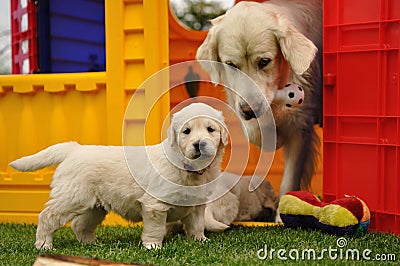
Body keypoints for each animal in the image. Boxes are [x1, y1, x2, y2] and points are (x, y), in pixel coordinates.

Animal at [9, 102, 228, 249]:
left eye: (210, 129)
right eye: (186, 132)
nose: (199, 144)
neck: (189, 168)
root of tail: (74, 149)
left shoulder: (197, 205)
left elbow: (197, 224)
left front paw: (200, 240)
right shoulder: (155, 205)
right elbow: (155, 229)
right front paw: (153, 247)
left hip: (94, 206)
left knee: (80, 224)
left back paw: (92, 244)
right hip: (72, 197)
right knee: (48, 216)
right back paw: (44, 245)